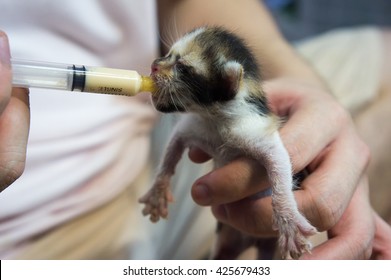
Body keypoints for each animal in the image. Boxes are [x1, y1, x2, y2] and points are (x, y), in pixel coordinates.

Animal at [139, 26, 316, 260]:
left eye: (184, 69)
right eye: (168, 54)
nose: (154, 65)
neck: (216, 119)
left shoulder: (255, 129)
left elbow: (278, 161)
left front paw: (288, 219)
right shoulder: (194, 126)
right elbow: (173, 146)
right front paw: (158, 191)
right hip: (225, 239)